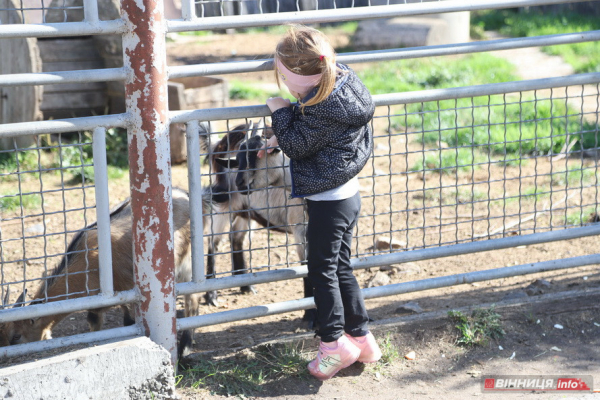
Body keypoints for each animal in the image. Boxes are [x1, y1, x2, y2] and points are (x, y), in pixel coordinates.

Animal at [0, 188, 211, 360]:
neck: (87, 260)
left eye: (16, 336)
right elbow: (98, 324)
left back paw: (185, 349)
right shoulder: (101, 302)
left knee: (193, 299)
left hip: (187, 262)